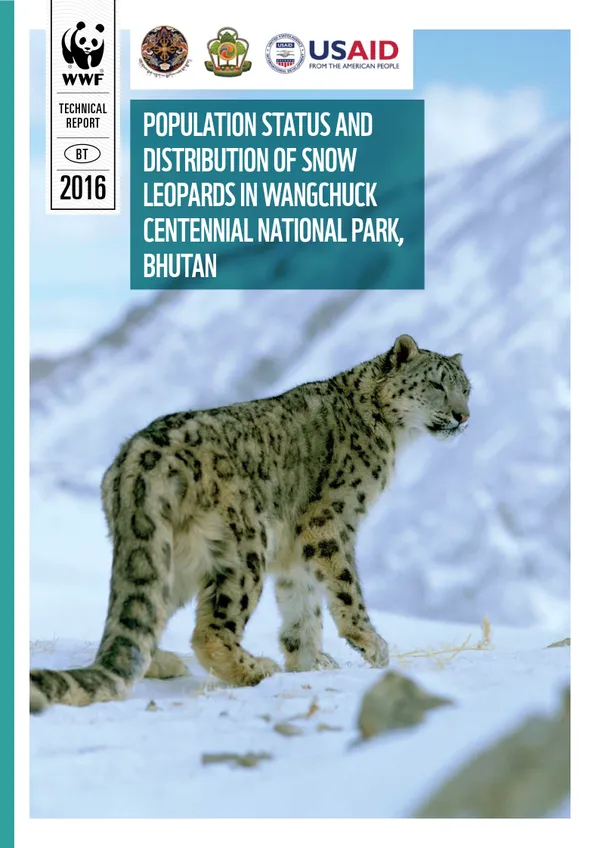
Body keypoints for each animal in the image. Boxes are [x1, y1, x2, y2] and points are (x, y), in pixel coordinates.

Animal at [30, 334, 471, 712]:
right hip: (244, 547)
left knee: (147, 615)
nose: (463, 416)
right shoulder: (330, 521)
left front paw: (311, 661)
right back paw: (256, 668)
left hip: (169, 557)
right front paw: (372, 646)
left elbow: (302, 605)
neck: (392, 438)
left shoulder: (296, 548)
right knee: (210, 631)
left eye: (466, 388)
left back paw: (167, 663)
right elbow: (345, 586)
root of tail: (138, 461)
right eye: (435, 384)